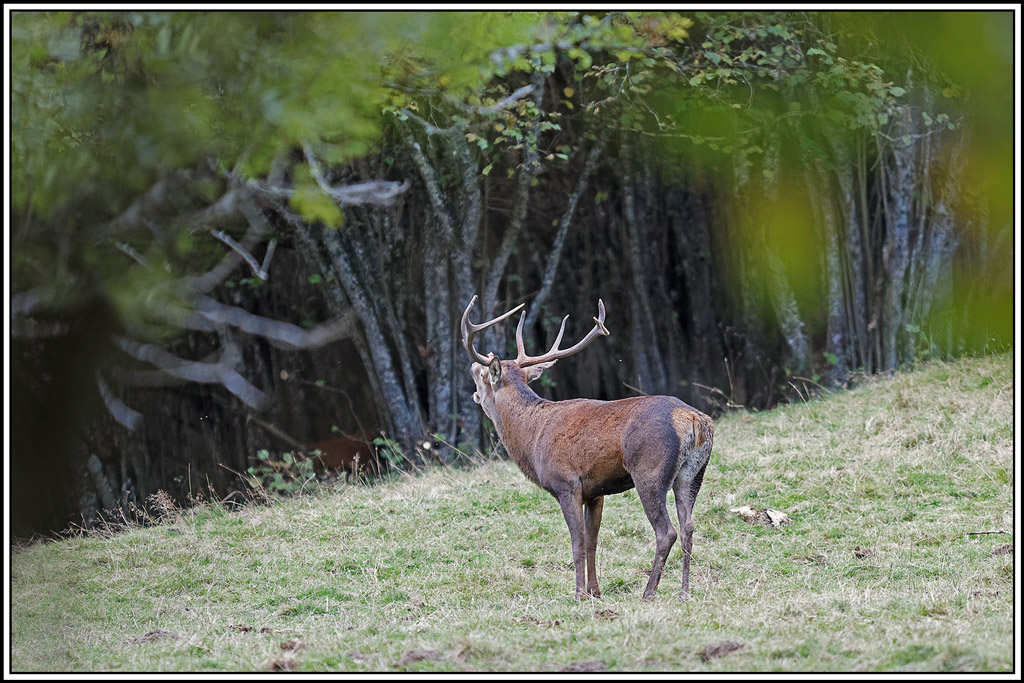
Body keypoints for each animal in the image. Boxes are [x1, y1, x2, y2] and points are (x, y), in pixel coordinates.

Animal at [461, 295, 713, 601]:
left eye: (482, 374)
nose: (471, 369)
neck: (531, 437)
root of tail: (694, 420)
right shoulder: (595, 491)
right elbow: (593, 539)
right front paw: (595, 591)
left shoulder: (566, 484)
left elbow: (578, 541)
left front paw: (579, 593)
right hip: (692, 474)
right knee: (689, 526)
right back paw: (684, 592)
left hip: (649, 471)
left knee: (667, 531)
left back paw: (648, 592)